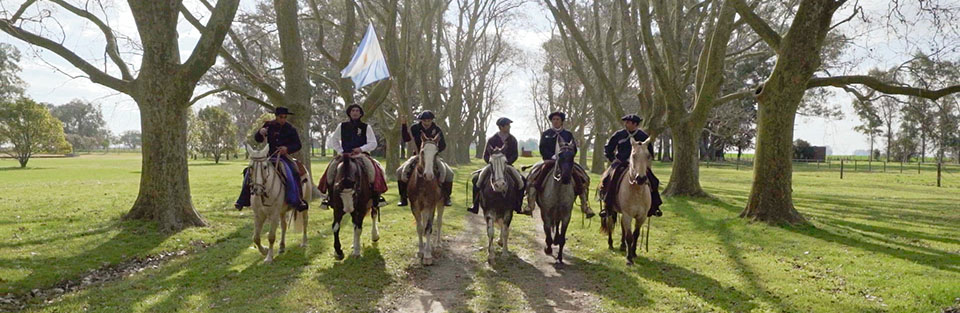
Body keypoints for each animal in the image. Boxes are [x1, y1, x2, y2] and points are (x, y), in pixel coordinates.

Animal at [408, 133, 446, 264]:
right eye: (422, 152)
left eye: (436, 153)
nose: (429, 175)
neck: (424, 184)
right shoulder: (414, 206)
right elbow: (420, 228)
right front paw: (421, 251)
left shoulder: (432, 205)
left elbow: (429, 227)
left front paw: (428, 255)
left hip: (440, 203)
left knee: (439, 222)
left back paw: (438, 245)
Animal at [596, 135, 656, 264]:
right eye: (633, 155)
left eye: (648, 156)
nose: (641, 179)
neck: (637, 191)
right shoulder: (627, 215)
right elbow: (629, 236)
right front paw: (629, 259)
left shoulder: (641, 216)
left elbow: (635, 234)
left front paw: (633, 253)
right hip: (610, 210)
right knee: (610, 224)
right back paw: (611, 244)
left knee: (623, 227)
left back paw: (623, 246)